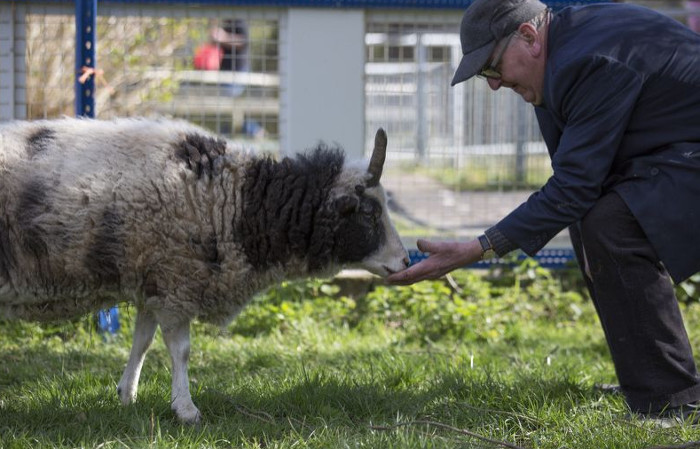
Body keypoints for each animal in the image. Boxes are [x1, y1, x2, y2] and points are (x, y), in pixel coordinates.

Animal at [0, 116, 410, 424]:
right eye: (370, 213)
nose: (405, 262)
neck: (242, 205)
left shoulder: (155, 278)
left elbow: (142, 341)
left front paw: (127, 395)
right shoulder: (177, 279)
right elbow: (180, 350)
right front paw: (186, 410)